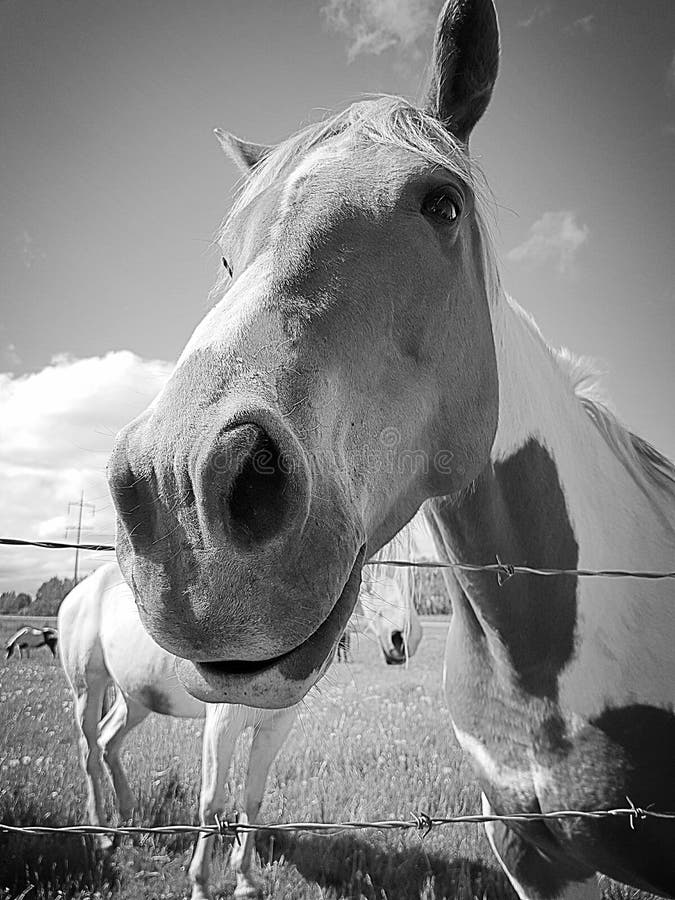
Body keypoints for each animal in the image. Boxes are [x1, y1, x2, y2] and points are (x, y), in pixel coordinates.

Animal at [56, 536, 422, 896]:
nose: (404, 639)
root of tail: (81, 591)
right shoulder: (222, 724)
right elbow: (212, 802)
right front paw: (201, 884)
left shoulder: (276, 726)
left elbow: (253, 799)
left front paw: (245, 878)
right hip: (88, 688)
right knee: (90, 751)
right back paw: (101, 835)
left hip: (136, 698)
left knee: (108, 742)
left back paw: (127, 816)